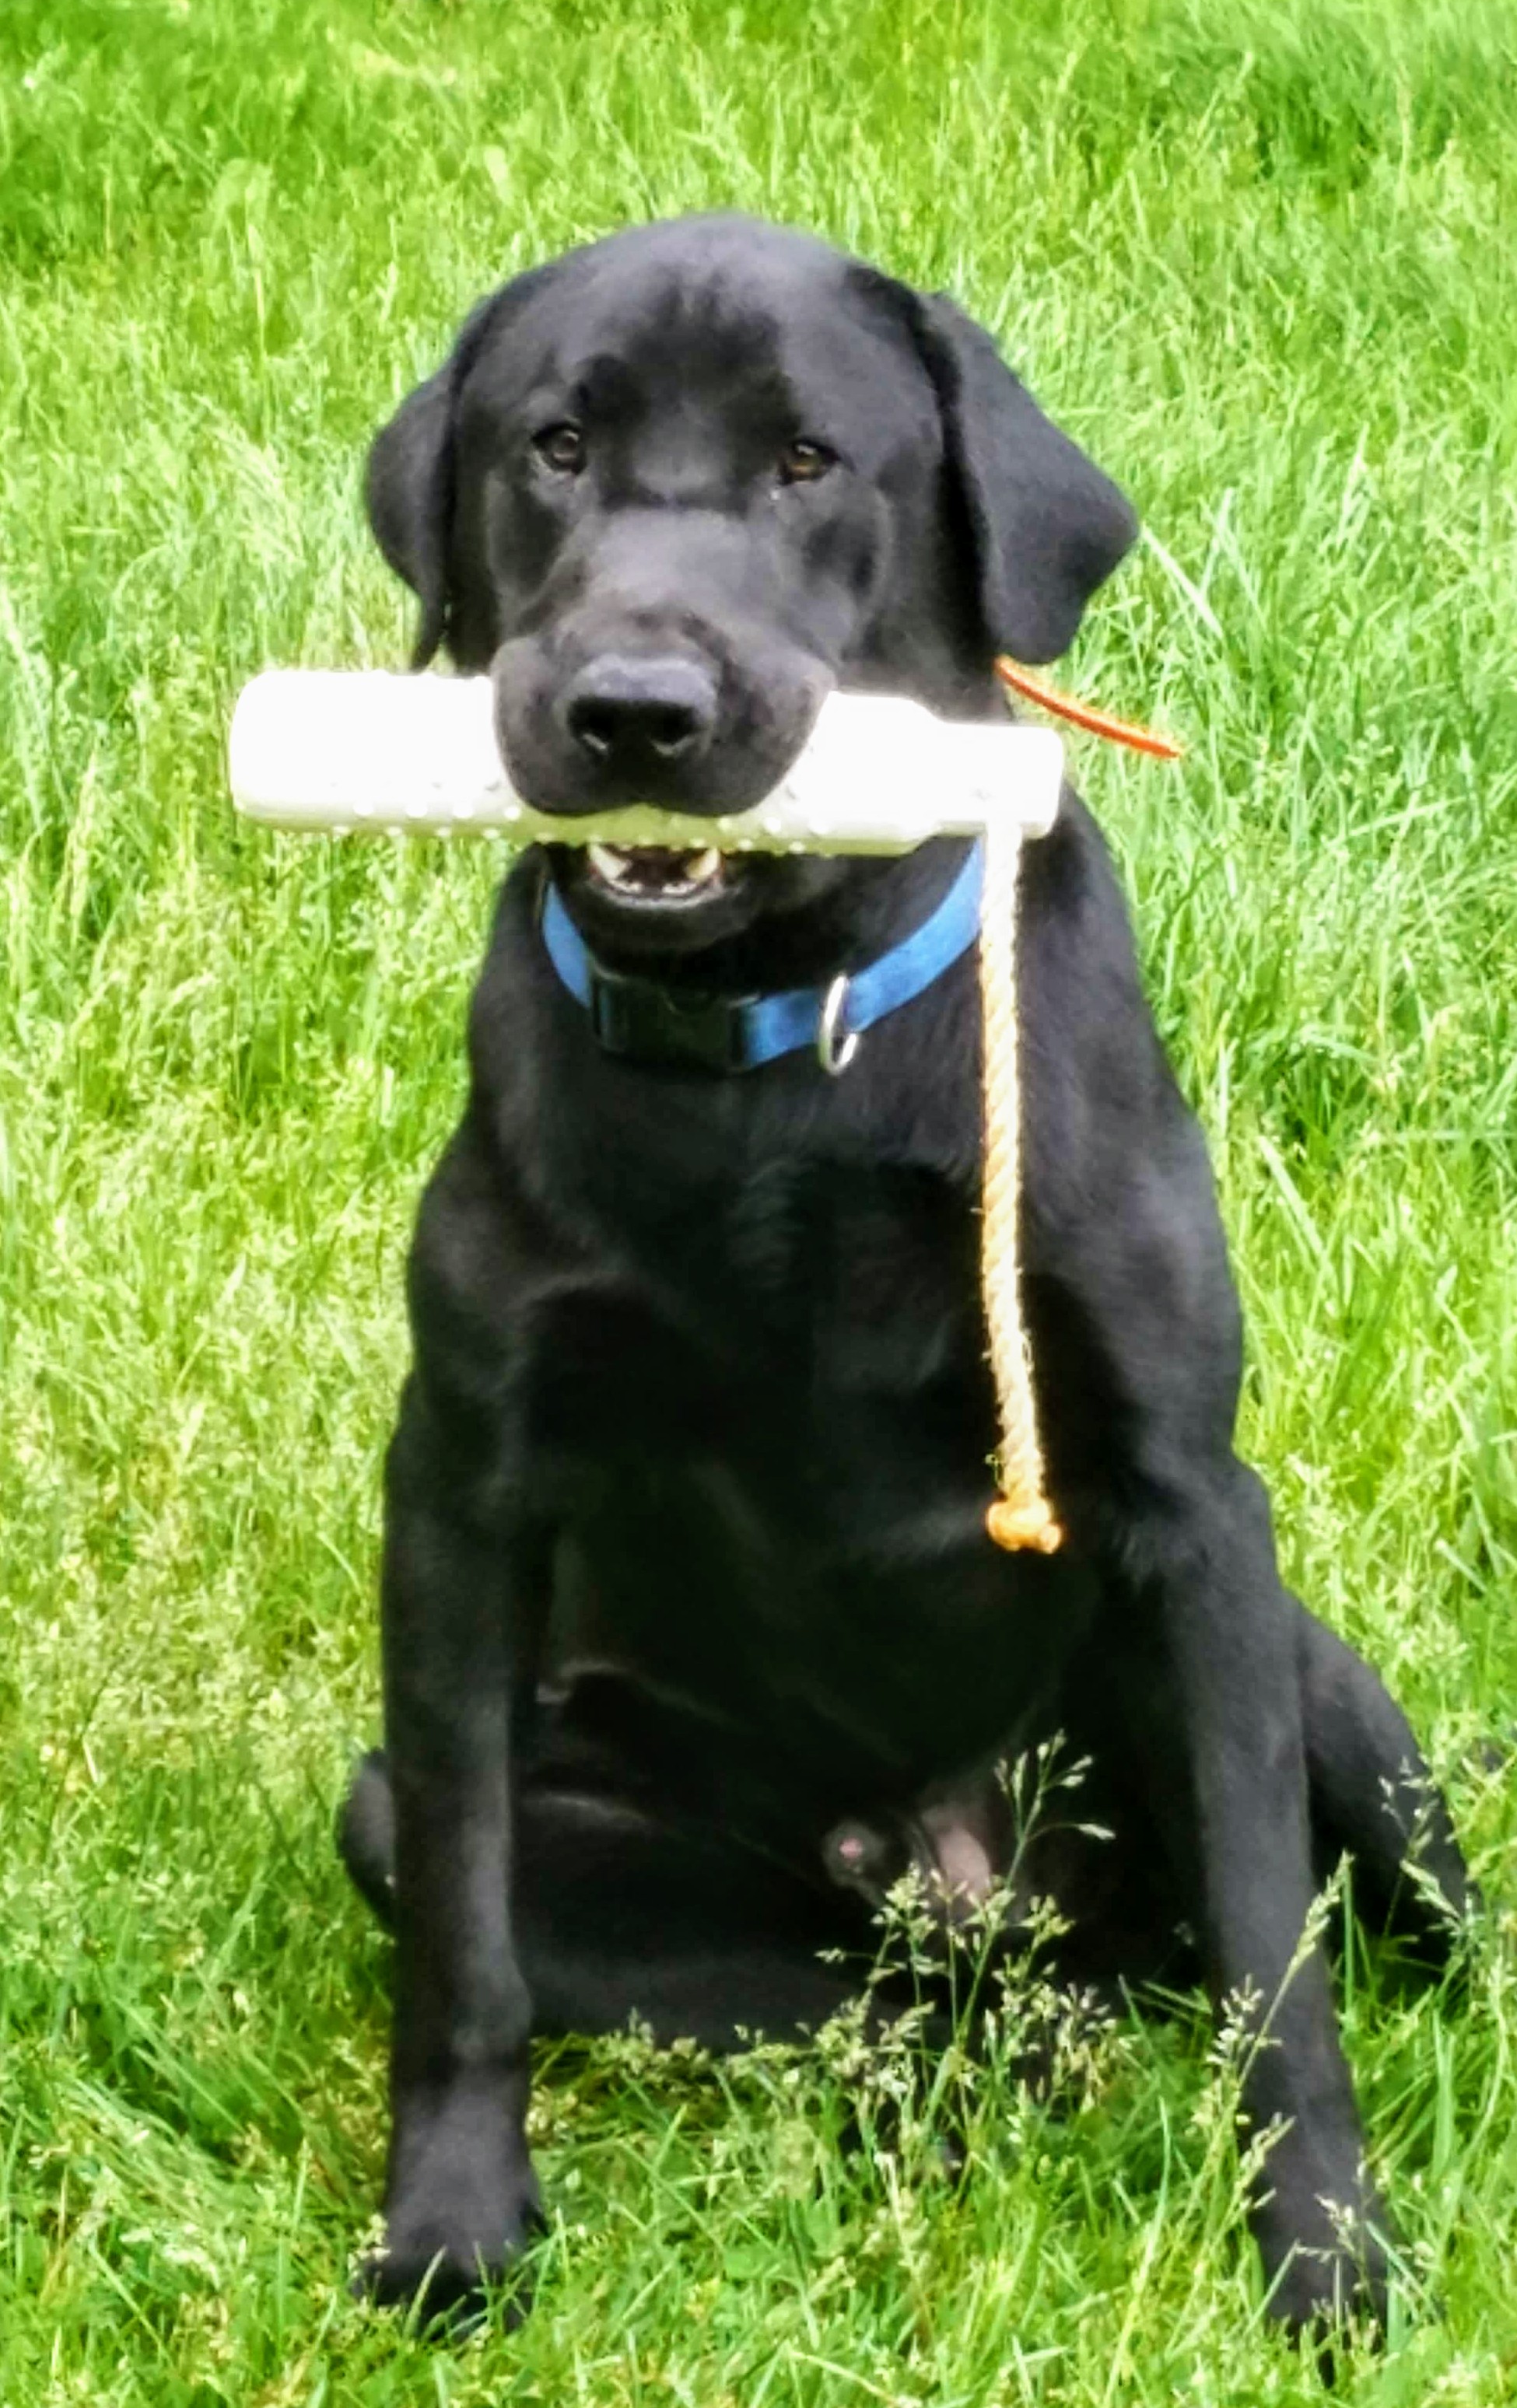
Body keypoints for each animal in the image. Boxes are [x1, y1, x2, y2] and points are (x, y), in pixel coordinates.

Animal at [344, 212, 1473, 2330]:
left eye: (810, 463)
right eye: (553, 449)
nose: (633, 711)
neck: (784, 1045)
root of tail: (977, 1897)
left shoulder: (1194, 1512)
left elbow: (1276, 1967)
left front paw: (1326, 2256)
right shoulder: (459, 1480)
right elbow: (465, 1938)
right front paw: (448, 2217)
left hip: (1324, 1694)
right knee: (881, 2022)